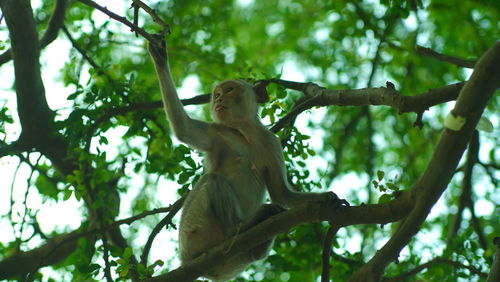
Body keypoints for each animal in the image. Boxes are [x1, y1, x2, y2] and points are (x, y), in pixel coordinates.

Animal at [146, 38, 346, 282]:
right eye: (217, 94)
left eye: (229, 89)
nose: (218, 98)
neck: (245, 134)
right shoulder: (218, 133)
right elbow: (183, 128)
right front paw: (159, 57)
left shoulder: (271, 142)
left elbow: (282, 193)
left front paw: (327, 198)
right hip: (191, 230)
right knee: (212, 181)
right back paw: (240, 227)